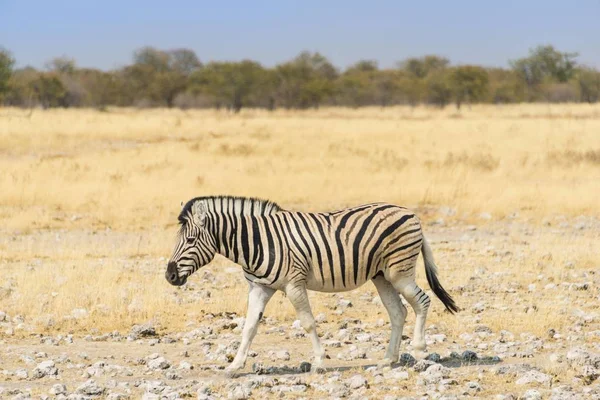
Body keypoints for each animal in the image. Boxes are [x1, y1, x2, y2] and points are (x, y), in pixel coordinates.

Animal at [166, 195, 458, 376]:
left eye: (190, 240)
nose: (169, 276)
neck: (258, 241)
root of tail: (411, 213)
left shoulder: (294, 283)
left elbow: (307, 323)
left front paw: (318, 362)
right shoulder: (260, 287)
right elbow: (248, 327)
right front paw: (235, 365)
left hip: (400, 272)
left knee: (422, 301)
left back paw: (420, 351)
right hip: (382, 276)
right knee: (398, 312)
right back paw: (388, 358)